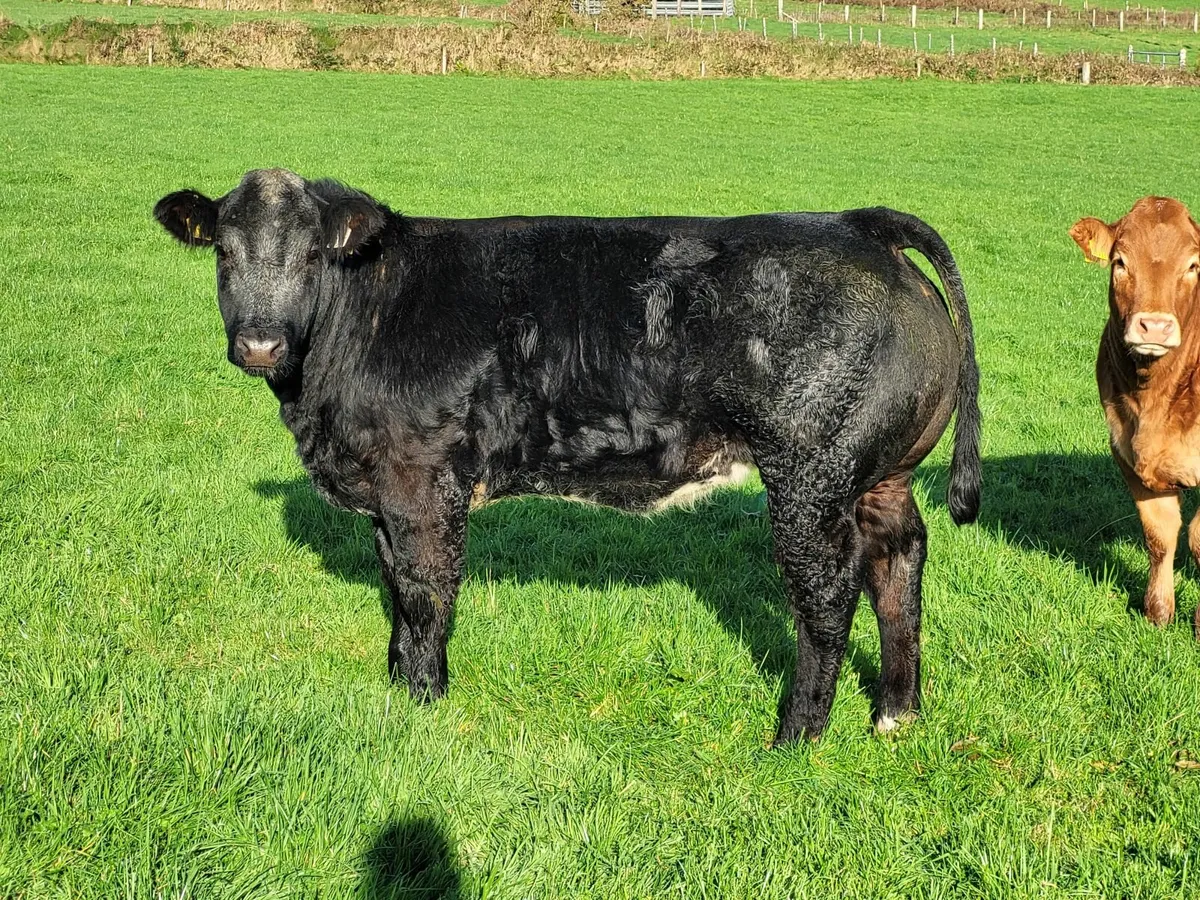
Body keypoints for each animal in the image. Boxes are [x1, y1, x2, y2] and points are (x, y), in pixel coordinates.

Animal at [154, 168, 981, 744]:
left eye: (311, 254)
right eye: (223, 250)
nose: (260, 343)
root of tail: (855, 223)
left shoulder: (422, 482)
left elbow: (424, 593)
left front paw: (424, 701)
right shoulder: (387, 496)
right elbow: (393, 584)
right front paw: (397, 685)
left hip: (810, 475)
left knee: (828, 596)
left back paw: (796, 736)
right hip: (879, 476)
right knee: (899, 561)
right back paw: (896, 712)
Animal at [1071, 197, 1200, 634]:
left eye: (1193, 265)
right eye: (1120, 262)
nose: (1155, 326)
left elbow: (1198, 538)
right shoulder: (1127, 455)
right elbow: (1159, 535)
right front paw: (1157, 612)